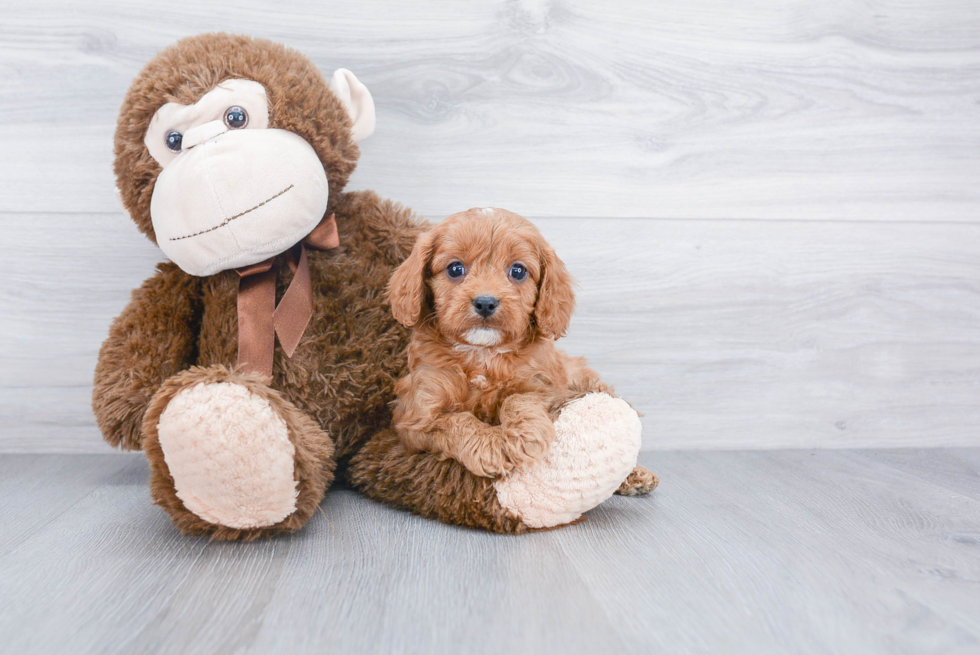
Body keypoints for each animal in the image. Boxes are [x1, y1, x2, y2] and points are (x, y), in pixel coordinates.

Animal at [390, 208, 660, 494]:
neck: (483, 354)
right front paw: (491, 447)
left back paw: (636, 475)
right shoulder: (417, 417)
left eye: (518, 271)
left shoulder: (544, 386)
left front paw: (523, 435)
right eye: (455, 269)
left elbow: (520, 398)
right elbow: (456, 422)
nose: (485, 302)